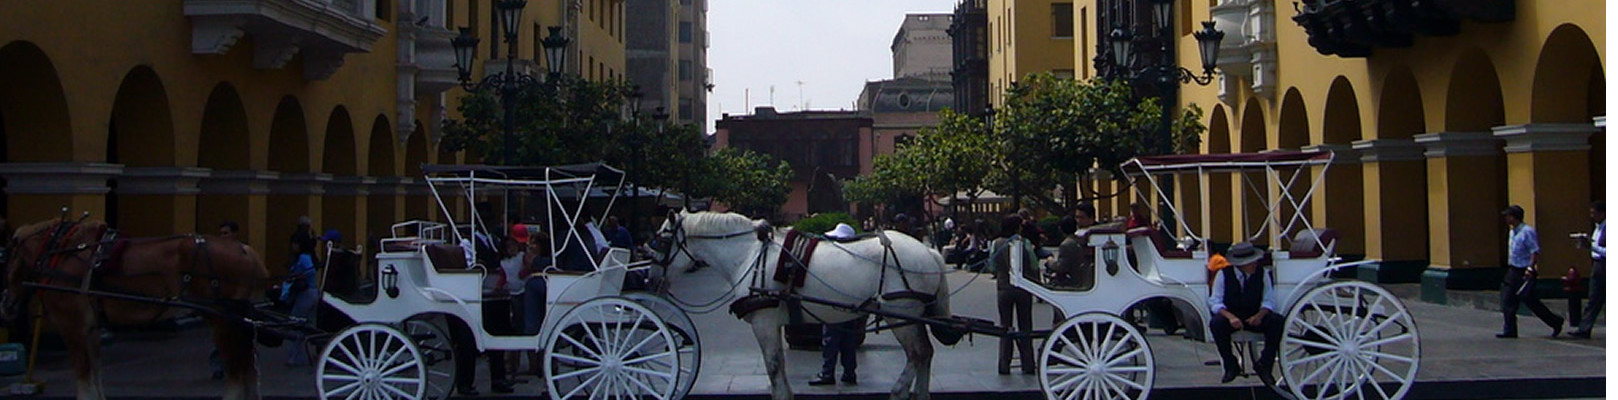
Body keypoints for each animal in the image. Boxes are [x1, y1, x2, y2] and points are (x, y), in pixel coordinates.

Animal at [0, 218, 271, 400]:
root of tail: (243, 248)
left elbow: (83, 371)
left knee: (236, 369)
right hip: (238, 320)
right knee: (248, 367)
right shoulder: (91, 328)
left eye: (4, 256)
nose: (6, 305)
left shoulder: (72, 326)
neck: (61, 252)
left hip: (222, 319)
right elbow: (95, 369)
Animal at [643, 210, 944, 400]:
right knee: (926, 353)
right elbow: (779, 366)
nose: (651, 278)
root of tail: (930, 251)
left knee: (918, 353)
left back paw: (899, 391)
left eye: (661, 240)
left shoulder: (764, 321)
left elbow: (774, 365)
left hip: (901, 312)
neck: (750, 254)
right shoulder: (772, 321)